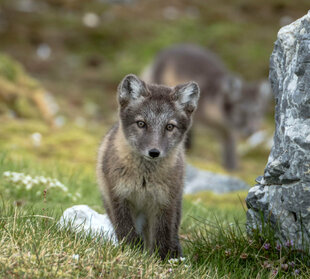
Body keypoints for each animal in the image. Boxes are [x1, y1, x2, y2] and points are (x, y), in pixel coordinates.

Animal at [96, 74, 201, 260]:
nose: (154, 152)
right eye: (141, 123)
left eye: (169, 126)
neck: (144, 179)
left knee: (171, 234)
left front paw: (160, 260)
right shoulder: (119, 196)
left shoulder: (164, 203)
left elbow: (161, 236)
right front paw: (130, 252)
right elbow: (126, 231)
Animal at [143, 44, 272, 171]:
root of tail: (162, 53)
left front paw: (231, 167)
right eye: (241, 111)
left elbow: (230, 146)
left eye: (257, 113)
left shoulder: (227, 129)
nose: (251, 131)